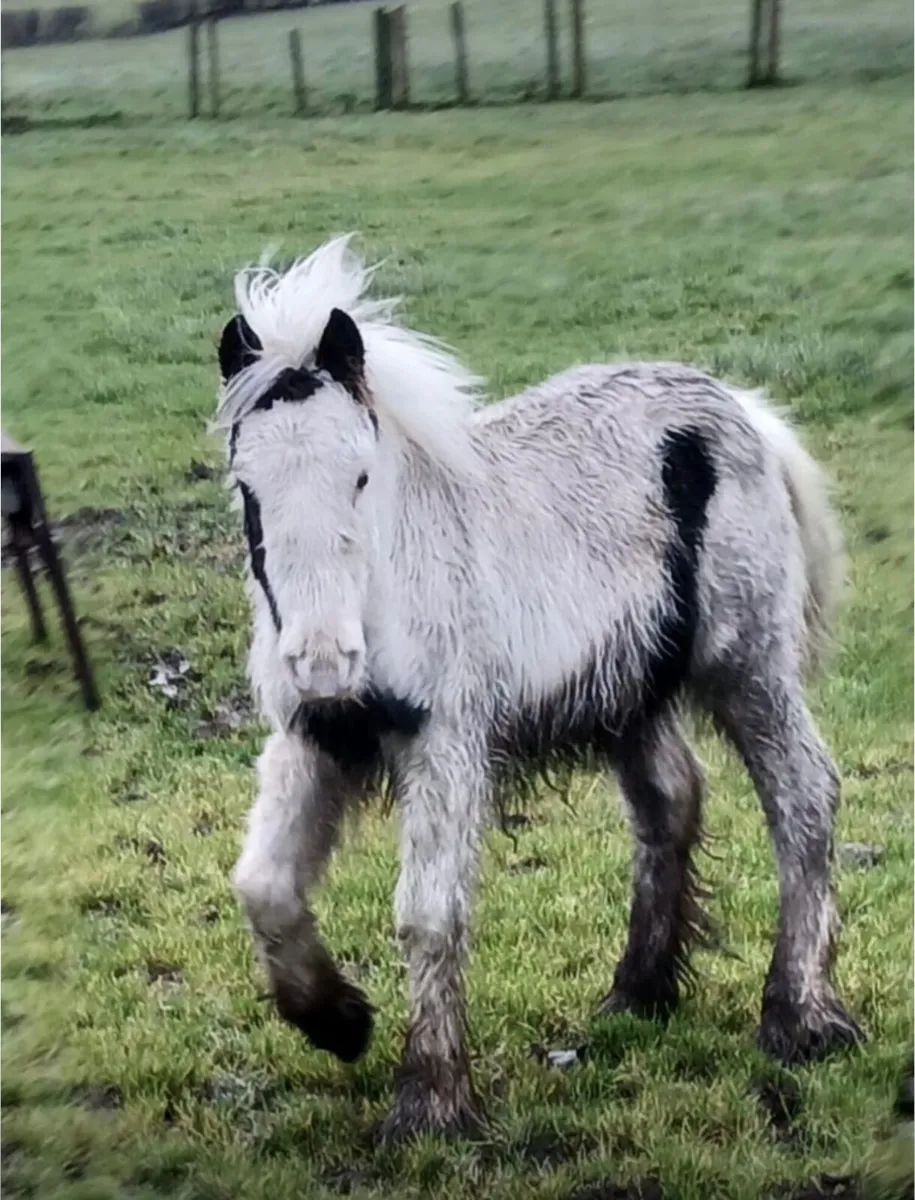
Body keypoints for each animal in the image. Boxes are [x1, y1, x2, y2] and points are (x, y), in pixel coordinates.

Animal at [217, 235, 863, 1140]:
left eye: (361, 477)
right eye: (248, 487)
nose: (320, 662)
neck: (392, 585)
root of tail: (741, 409)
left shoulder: (446, 741)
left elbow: (428, 912)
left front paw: (430, 1102)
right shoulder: (313, 739)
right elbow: (264, 888)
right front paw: (338, 1022)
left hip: (748, 665)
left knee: (803, 796)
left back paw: (797, 1018)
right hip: (630, 689)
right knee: (670, 800)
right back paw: (639, 992)